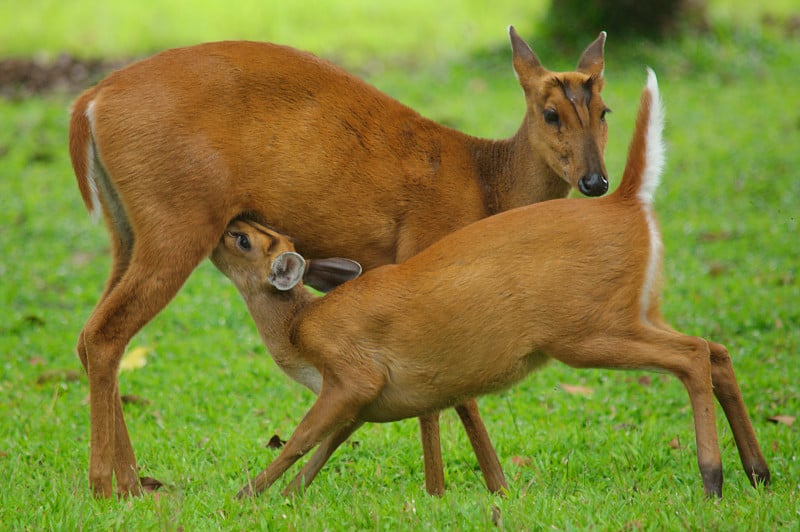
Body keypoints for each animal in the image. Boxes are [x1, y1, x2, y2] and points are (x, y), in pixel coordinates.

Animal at [72, 27, 608, 496]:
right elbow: (449, 393)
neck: (489, 185)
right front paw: (457, 489)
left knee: (89, 335)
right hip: (177, 223)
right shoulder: (423, 253)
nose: (596, 182)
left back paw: (132, 481)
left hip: (127, 231)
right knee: (105, 335)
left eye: (605, 110)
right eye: (551, 114)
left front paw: (490, 486)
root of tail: (90, 101)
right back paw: (108, 486)